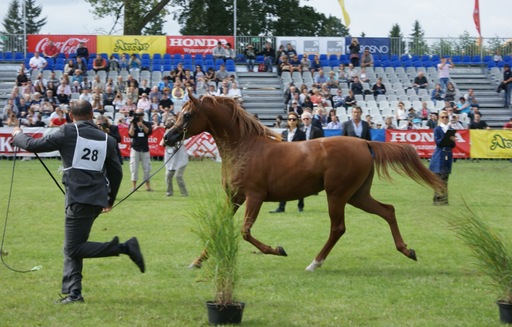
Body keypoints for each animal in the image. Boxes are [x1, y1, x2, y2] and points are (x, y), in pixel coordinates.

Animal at [166, 95, 446, 272]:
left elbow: (245, 232)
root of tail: (365, 142)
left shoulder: (254, 197)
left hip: (337, 194)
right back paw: (407, 250)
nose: (168, 136)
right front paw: (196, 262)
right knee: (388, 210)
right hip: (358, 195)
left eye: (187, 114)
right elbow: (216, 227)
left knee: (338, 228)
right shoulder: (233, 198)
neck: (245, 148)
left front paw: (278, 249)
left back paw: (314, 263)